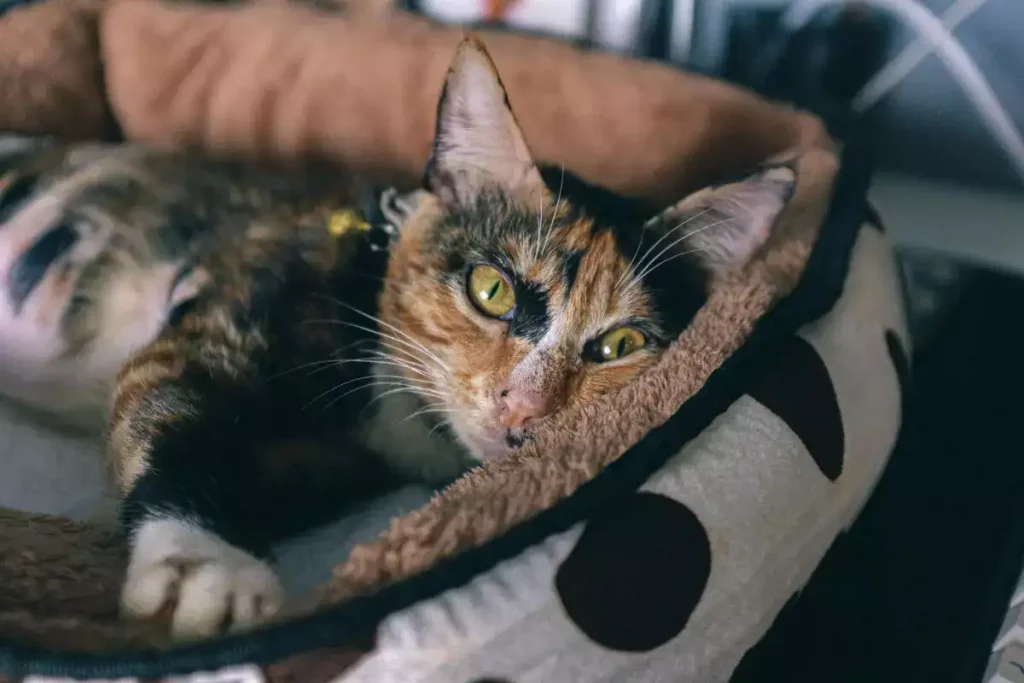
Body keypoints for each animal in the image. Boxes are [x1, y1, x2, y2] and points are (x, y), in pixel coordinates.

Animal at [0, 38, 794, 643]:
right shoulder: (216, 324)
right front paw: (206, 566)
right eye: (492, 289)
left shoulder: (325, 467)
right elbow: (176, 410)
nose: (523, 407)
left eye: (619, 344)